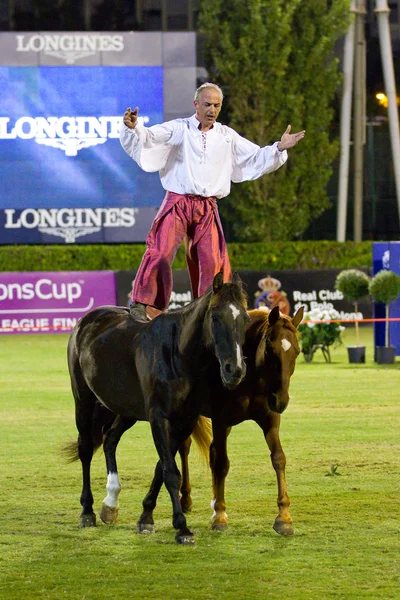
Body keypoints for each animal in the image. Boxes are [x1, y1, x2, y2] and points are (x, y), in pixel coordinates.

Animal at [65, 274, 248, 548]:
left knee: (109, 439)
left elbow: (162, 467)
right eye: (215, 317)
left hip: (126, 410)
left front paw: (146, 517)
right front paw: (182, 527)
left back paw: (110, 503)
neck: (177, 353)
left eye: (244, 318)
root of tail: (86, 321)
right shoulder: (158, 418)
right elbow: (171, 471)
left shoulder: (184, 421)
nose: (234, 369)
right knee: (86, 448)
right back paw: (87, 510)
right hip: (84, 401)